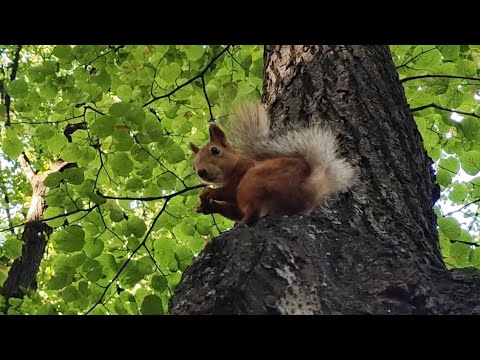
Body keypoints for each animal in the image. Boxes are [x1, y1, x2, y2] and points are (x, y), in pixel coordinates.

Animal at [189, 101, 354, 225]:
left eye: (215, 150)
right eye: (193, 165)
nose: (201, 172)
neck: (233, 167)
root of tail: (308, 189)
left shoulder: (242, 172)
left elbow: (228, 191)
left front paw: (209, 192)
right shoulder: (236, 204)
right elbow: (233, 210)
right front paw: (208, 207)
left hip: (252, 181)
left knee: (253, 209)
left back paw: (244, 221)